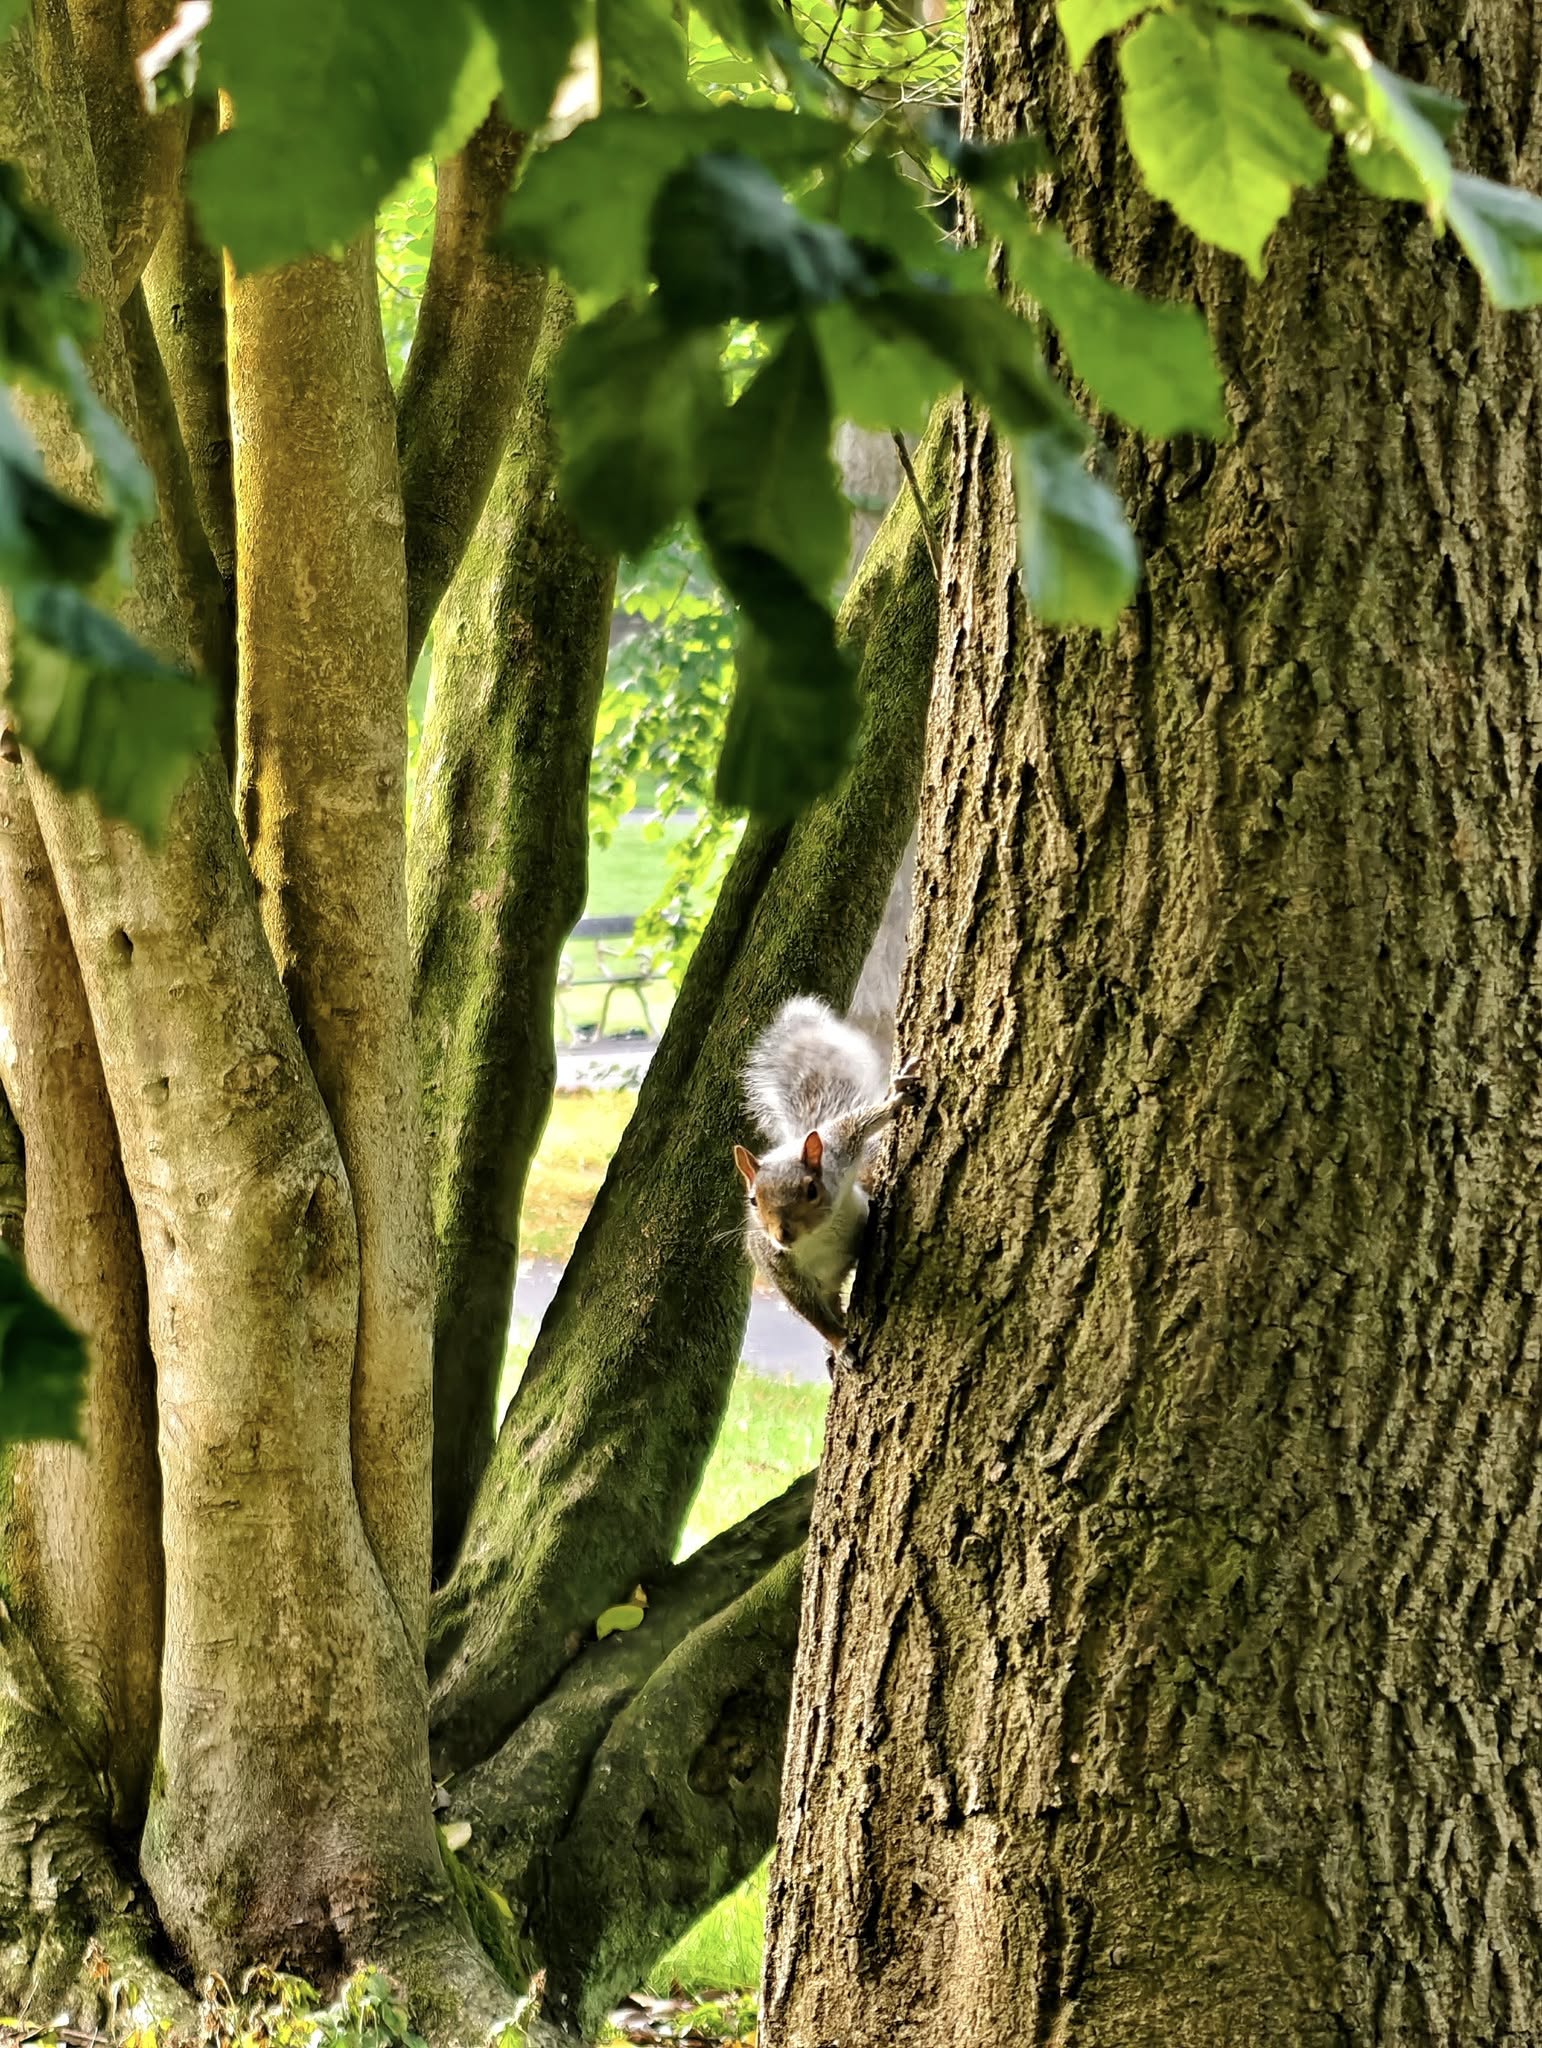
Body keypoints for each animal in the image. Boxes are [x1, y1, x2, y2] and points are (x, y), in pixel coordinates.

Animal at [733, 996, 921, 1355]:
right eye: (752, 1201)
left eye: (811, 1190)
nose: (783, 1234)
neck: (817, 1234)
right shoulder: (778, 1266)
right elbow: (809, 1310)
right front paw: (840, 1342)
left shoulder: (840, 1148)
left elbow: (858, 1123)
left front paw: (895, 1099)